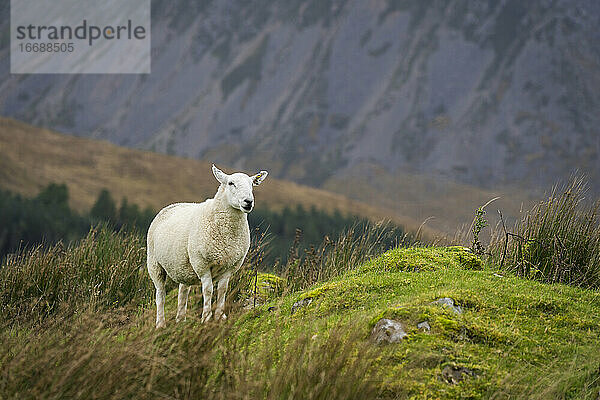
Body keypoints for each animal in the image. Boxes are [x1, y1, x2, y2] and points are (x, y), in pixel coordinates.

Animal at [146, 164, 268, 326]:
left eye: (252, 185)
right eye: (231, 183)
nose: (248, 201)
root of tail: (173, 205)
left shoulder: (230, 265)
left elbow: (222, 290)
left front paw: (219, 316)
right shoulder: (202, 264)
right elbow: (208, 290)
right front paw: (206, 317)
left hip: (183, 265)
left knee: (183, 291)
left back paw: (181, 319)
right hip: (154, 264)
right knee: (160, 294)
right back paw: (160, 324)